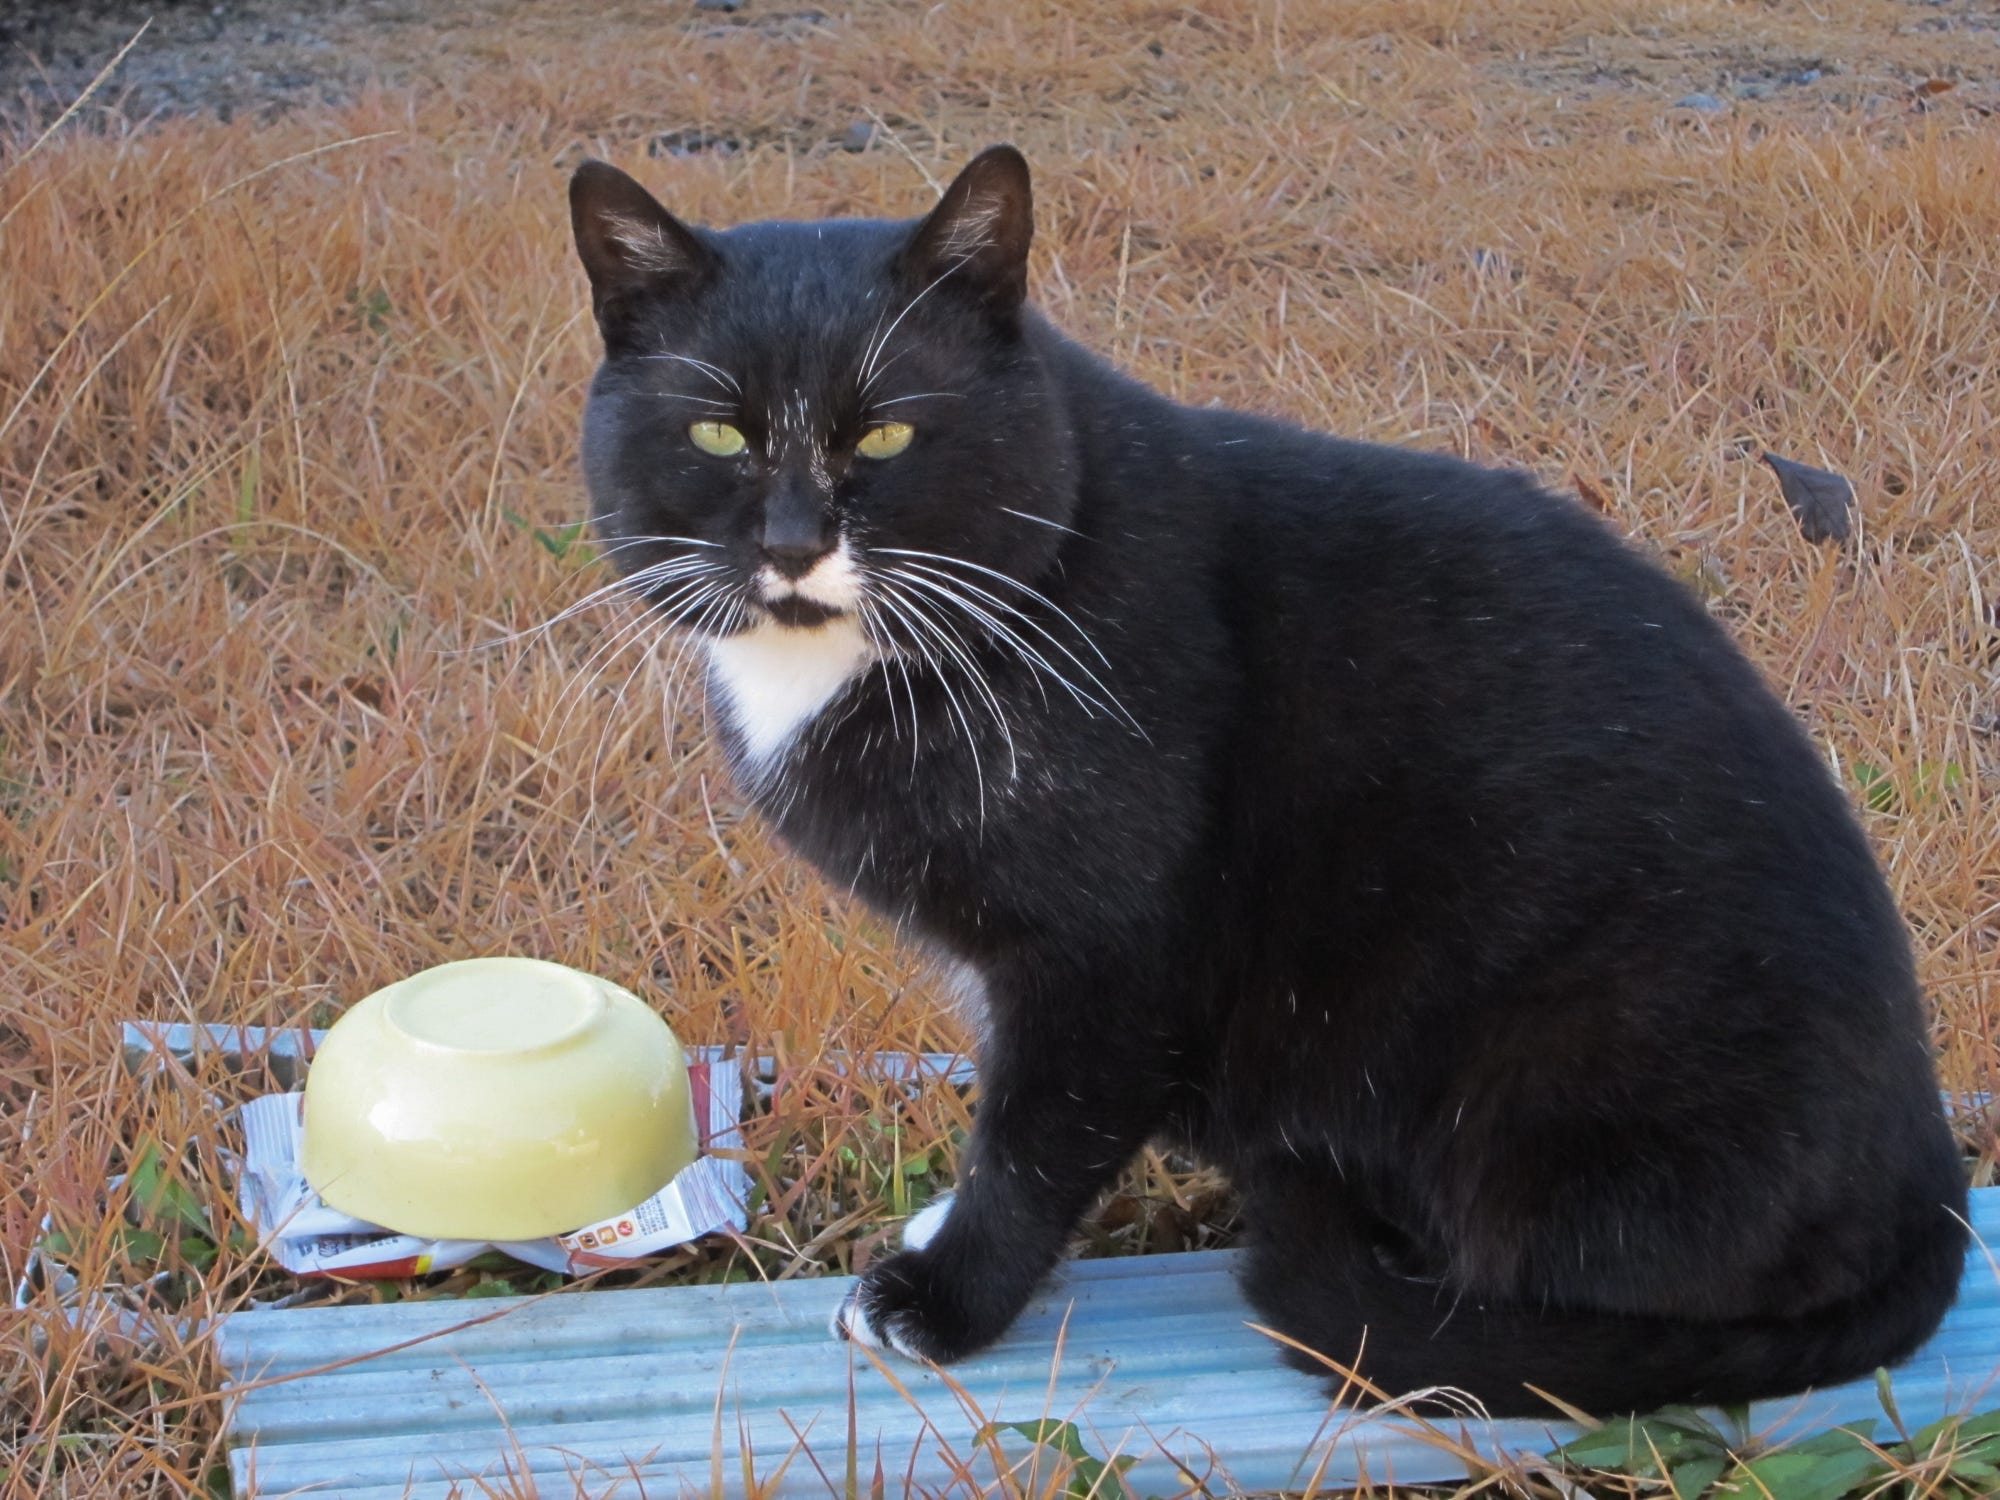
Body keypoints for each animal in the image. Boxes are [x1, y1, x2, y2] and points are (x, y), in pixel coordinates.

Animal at [565, 146, 1967, 1417]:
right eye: (716, 433)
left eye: (891, 431)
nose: (793, 543)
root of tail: (1931, 1192)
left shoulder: (1106, 958)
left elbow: (1033, 1141)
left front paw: (948, 1299)